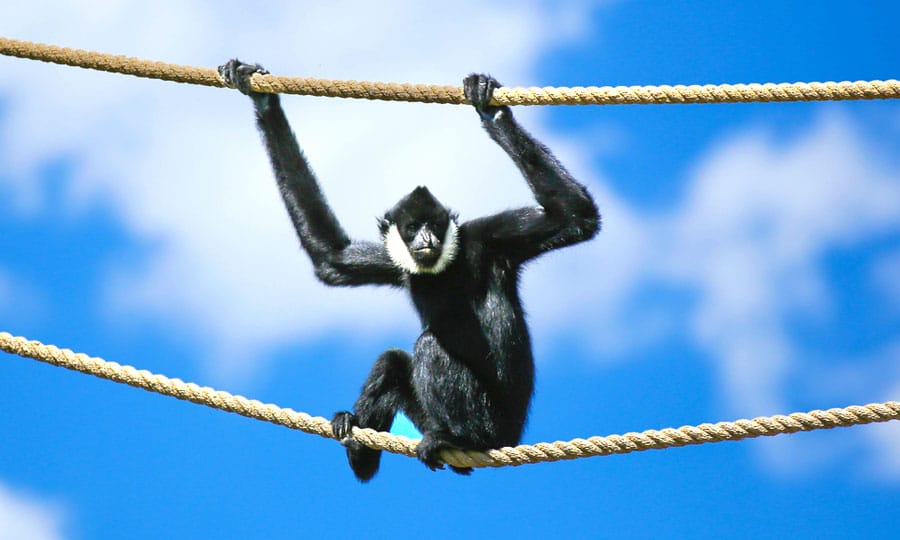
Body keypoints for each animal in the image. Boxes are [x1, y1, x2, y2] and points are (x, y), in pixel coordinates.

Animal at [219, 60, 600, 481]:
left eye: (433, 223)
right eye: (412, 227)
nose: (427, 238)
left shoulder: (487, 238)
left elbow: (576, 216)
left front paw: (492, 111)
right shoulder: (396, 260)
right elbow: (332, 259)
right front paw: (263, 100)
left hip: (492, 421)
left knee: (431, 345)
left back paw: (458, 438)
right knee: (392, 362)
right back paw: (359, 447)